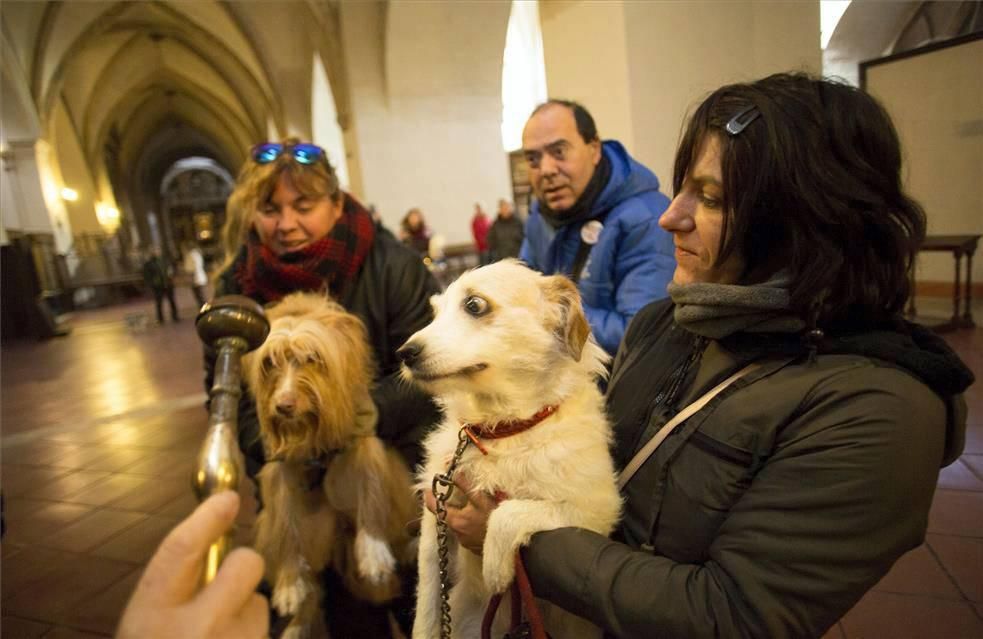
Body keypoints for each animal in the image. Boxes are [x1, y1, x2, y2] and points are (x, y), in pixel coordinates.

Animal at [246, 294, 418, 639]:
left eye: (312, 358)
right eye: (270, 363)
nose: (284, 406)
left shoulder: (362, 437)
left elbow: (371, 491)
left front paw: (373, 552)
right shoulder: (281, 466)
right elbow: (284, 520)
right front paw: (289, 583)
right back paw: (296, 625)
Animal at [400, 260, 624, 639]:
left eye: (474, 305)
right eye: (435, 312)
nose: (404, 354)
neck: (501, 431)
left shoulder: (595, 511)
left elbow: (508, 512)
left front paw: (495, 569)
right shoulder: (435, 525)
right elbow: (427, 605)